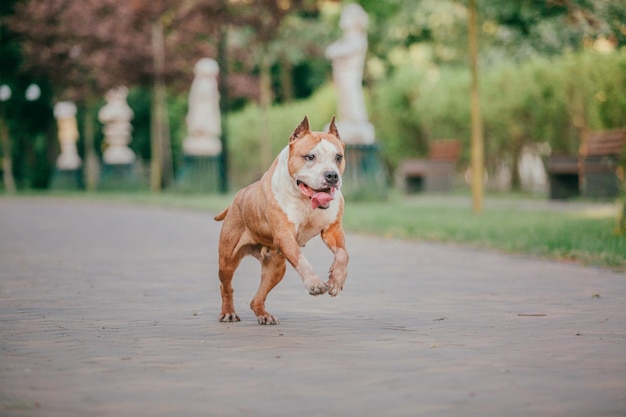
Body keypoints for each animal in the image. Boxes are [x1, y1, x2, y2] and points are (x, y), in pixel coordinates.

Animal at [214, 115, 348, 324]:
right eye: (310, 157)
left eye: (338, 157)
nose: (332, 175)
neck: (305, 199)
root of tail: (239, 195)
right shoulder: (285, 235)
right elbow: (301, 258)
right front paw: (314, 283)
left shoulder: (332, 229)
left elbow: (343, 254)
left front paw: (336, 280)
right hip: (227, 259)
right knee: (225, 285)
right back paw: (228, 312)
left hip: (276, 267)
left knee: (257, 297)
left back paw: (264, 315)